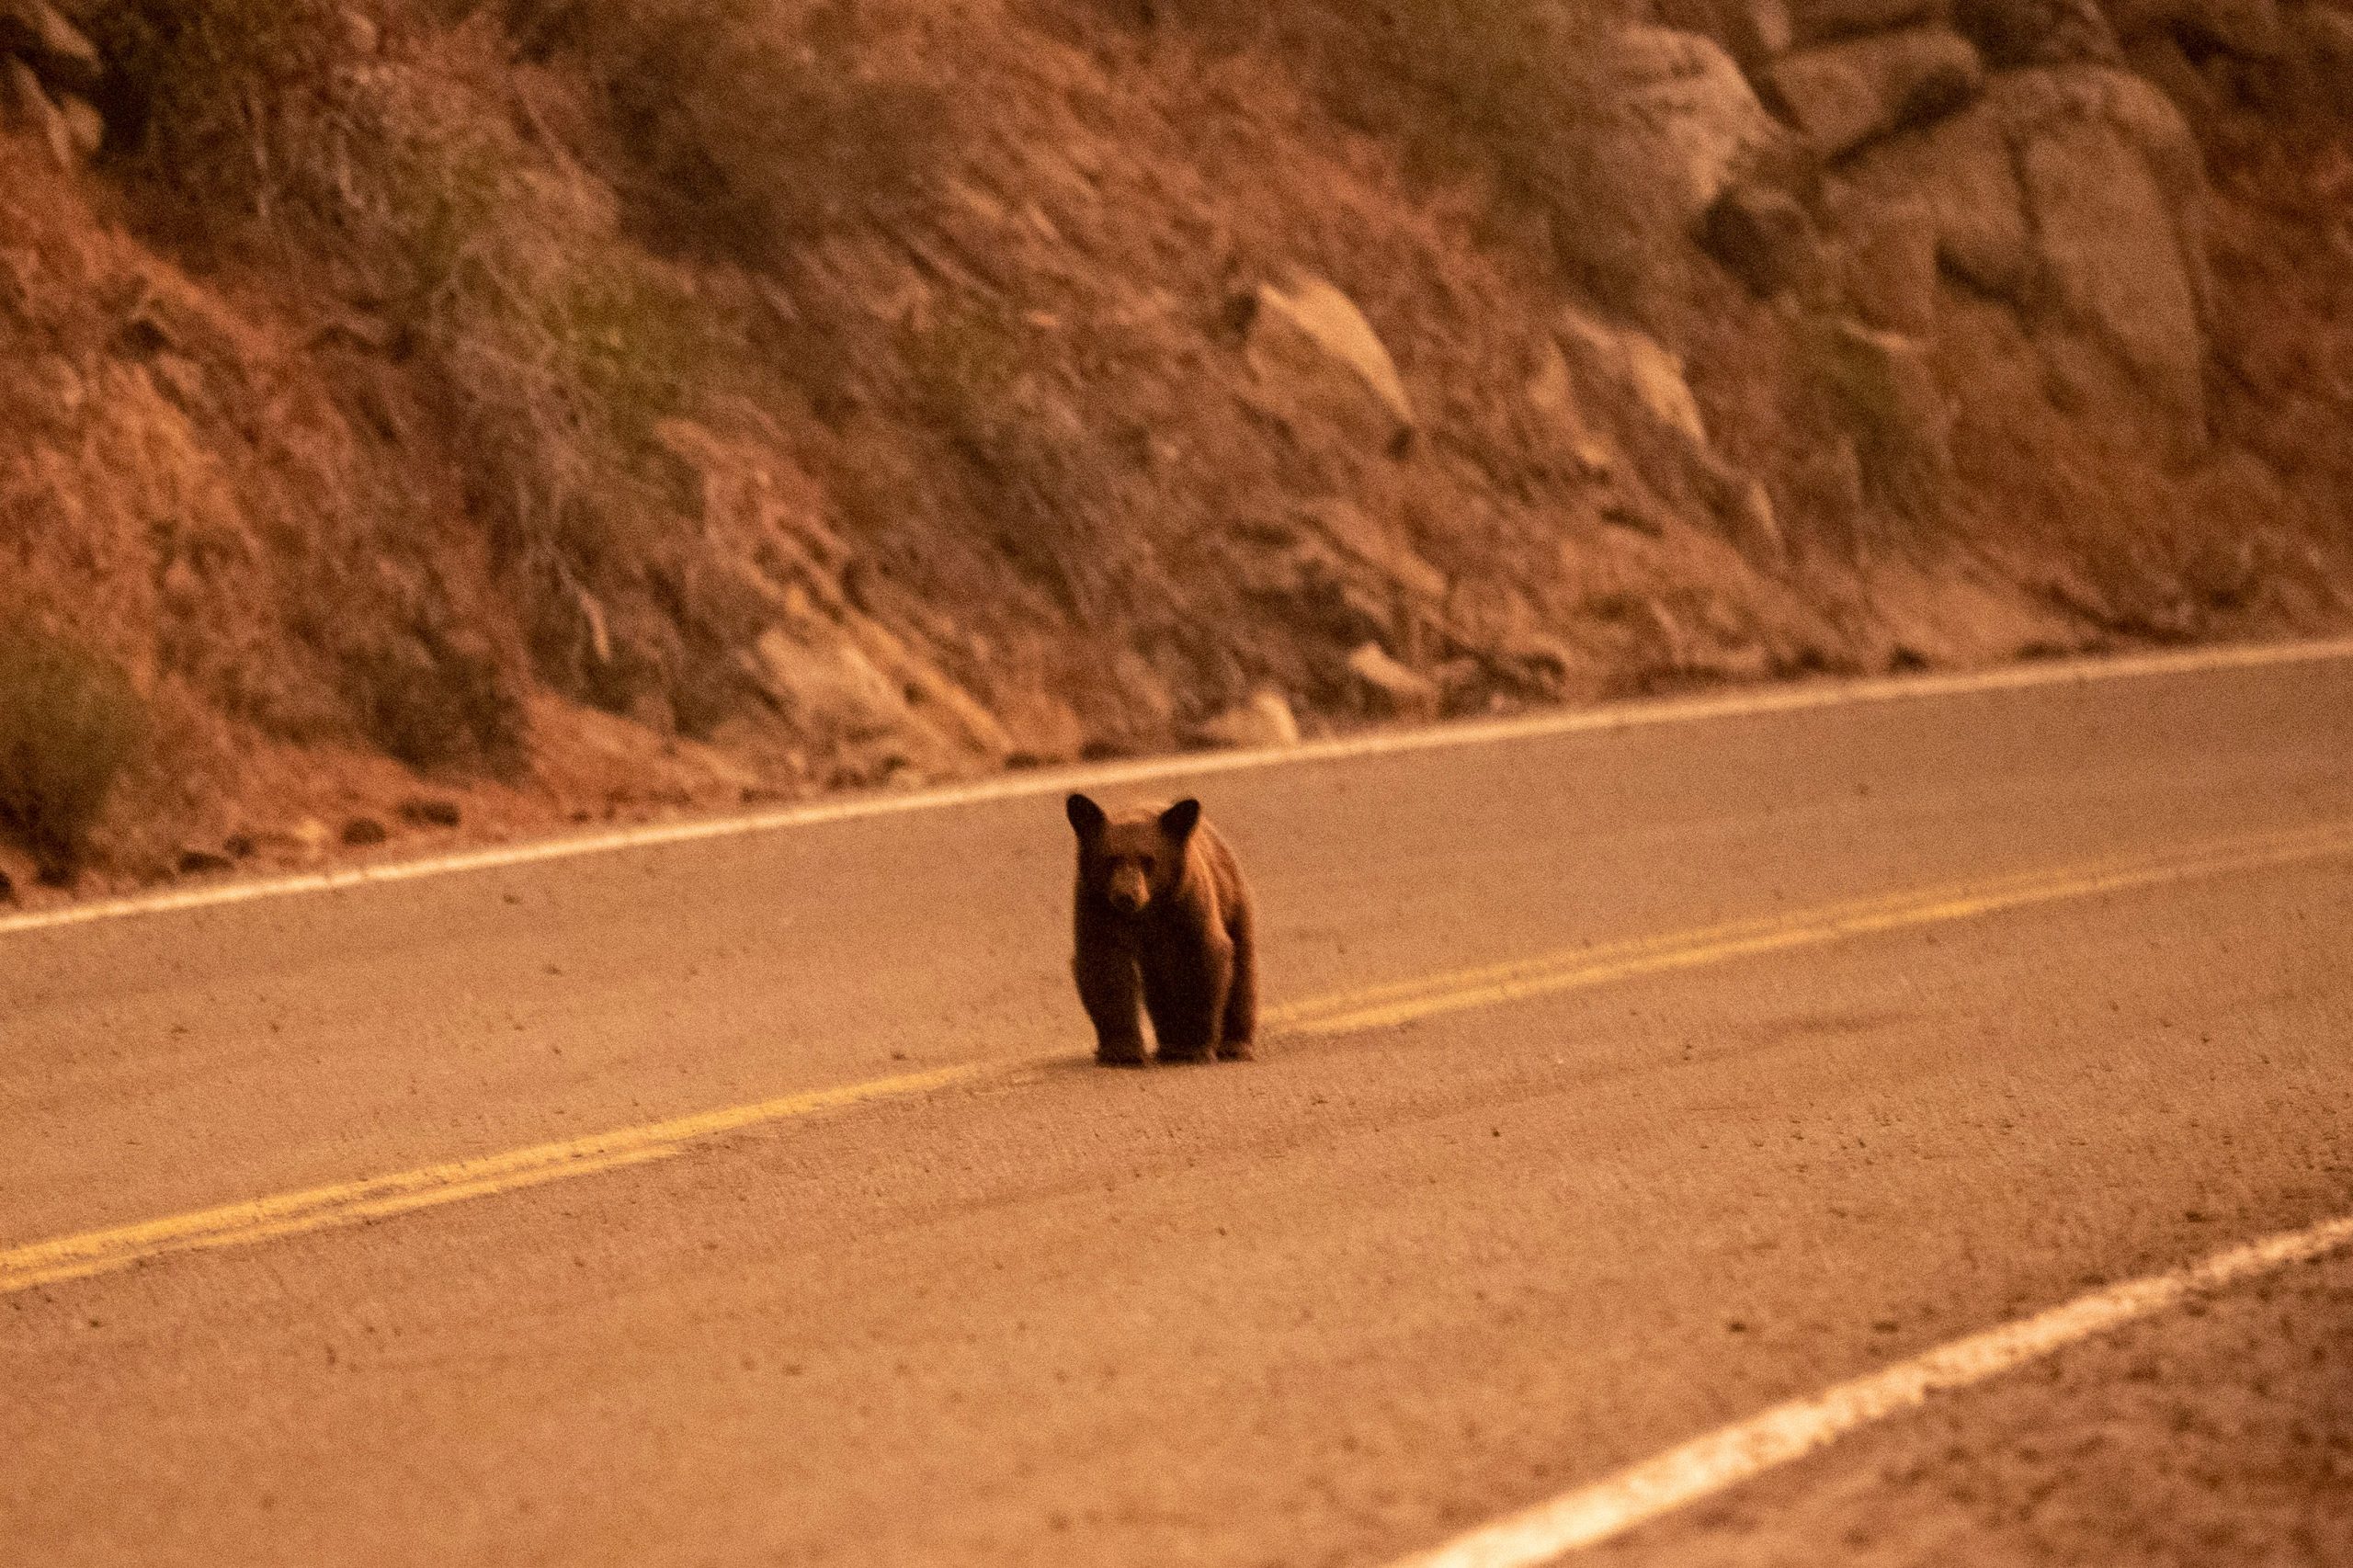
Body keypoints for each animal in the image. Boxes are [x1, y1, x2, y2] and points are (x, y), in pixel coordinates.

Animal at [1063, 795, 1251, 1063]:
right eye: (1111, 859)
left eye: (1148, 860)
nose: (1127, 895)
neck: (1145, 913)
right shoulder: (1096, 907)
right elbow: (1104, 966)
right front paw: (1123, 1052)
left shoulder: (1187, 904)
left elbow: (1203, 958)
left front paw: (1193, 1048)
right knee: (1159, 985)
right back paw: (1168, 1045)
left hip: (1232, 899)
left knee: (1242, 968)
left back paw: (1234, 1046)